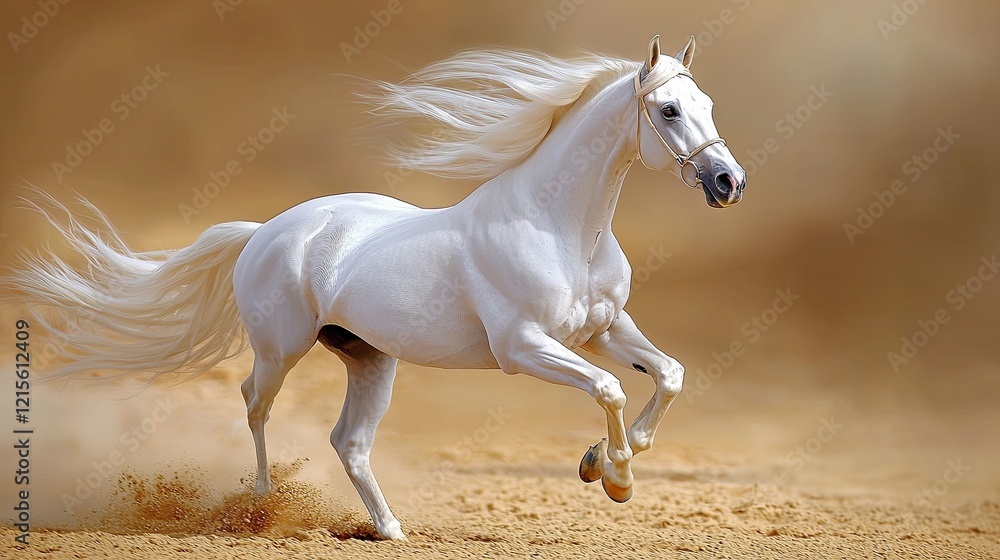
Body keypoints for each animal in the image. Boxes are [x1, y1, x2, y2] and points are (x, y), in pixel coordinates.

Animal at [5, 34, 745, 540]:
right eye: (669, 109)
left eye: (708, 103)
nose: (728, 182)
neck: (560, 225)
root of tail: (264, 231)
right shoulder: (524, 348)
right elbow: (612, 388)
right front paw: (612, 476)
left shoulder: (603, 329)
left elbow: (666, 375)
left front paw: (606, 462)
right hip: (281, 350)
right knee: (254, 404)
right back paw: (261, 506)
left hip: (369, 359)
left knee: (349, 442)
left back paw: (389, 530)